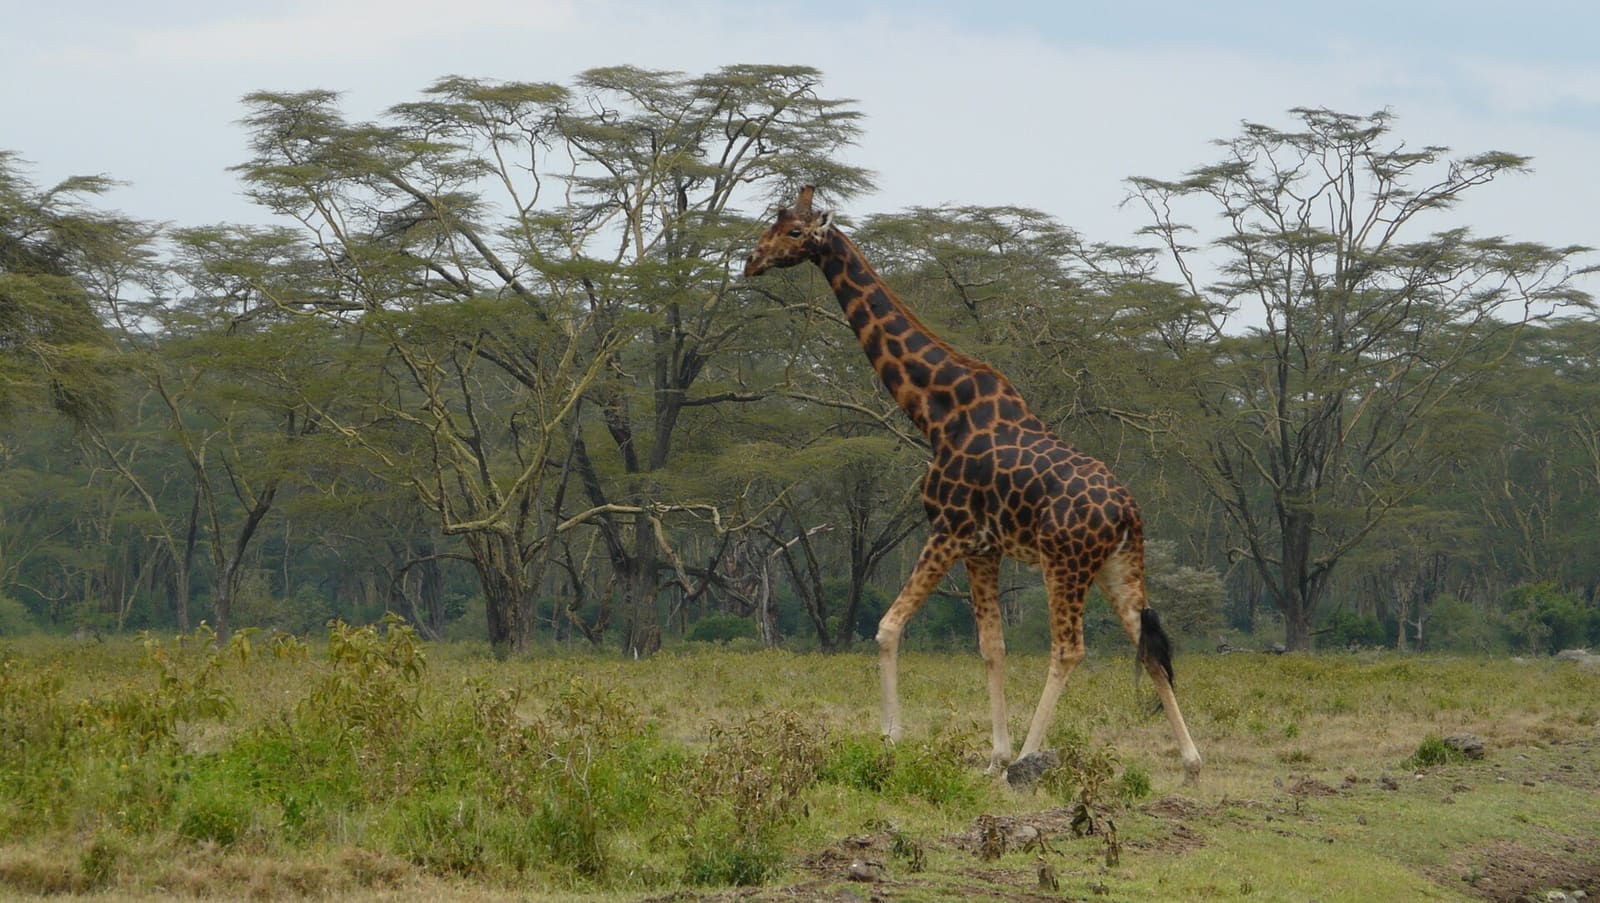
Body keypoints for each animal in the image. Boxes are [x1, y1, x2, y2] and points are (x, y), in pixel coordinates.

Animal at [744, 186, 1202, 783]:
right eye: (773, 221)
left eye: (795, 232)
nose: (751, 260)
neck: (935, 411)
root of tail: (1129, 512)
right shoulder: (983, 547)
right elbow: (991, 647)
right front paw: (992, 756)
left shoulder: (949, 529)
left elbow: (888, 627)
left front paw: (891, 739)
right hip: (1116, 567)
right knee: (1147, 645)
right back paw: (1191, 762)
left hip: (1066, 563)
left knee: (1069, 650)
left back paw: (1031, 759)